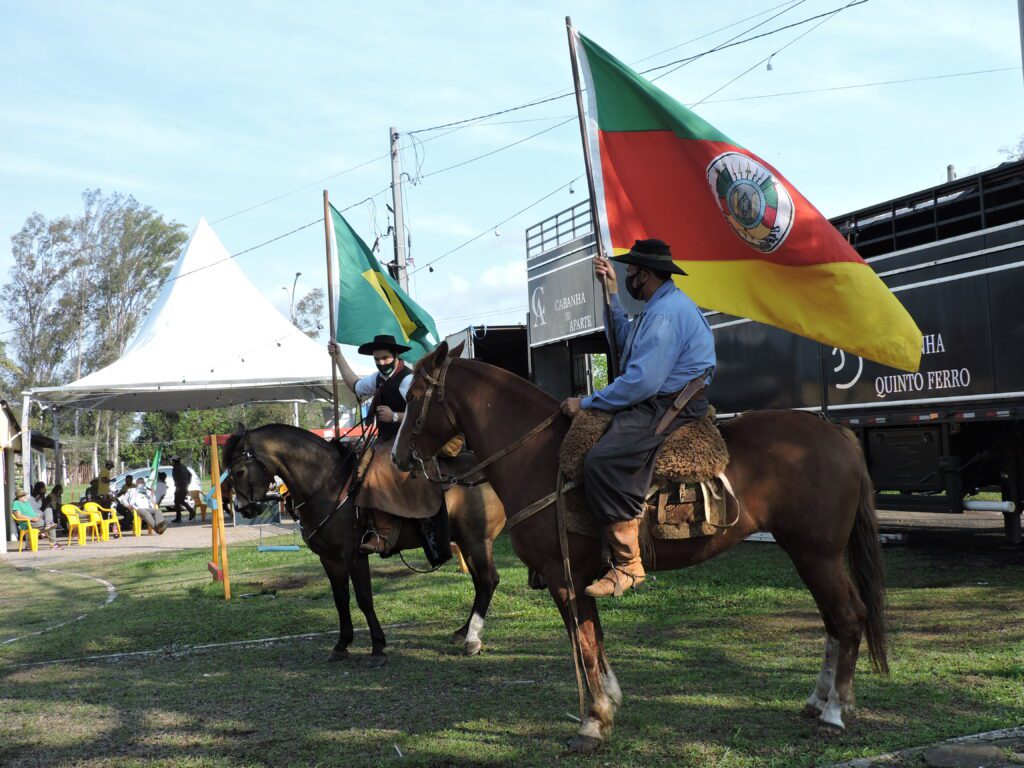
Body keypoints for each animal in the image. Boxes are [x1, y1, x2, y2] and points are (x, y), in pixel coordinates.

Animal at [227, 423, 507, 663]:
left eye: (239, 471)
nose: (243, 508)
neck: (328, 485)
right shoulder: (330, 558)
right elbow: (341, 599)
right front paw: (342, 645)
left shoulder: (354, 554)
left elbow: (364, 598)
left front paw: (377, 647)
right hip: (466, 542)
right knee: (480, 582)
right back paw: (464, 631)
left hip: (477, 540)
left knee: (488, 580)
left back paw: (472, 639)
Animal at [391, 342, 888, 753]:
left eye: (413, 397)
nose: (397, 458)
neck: (537, 458)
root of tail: (834, 432)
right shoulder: (581, 579)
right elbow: (595, 638)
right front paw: (610, 702)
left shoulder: (563, 576)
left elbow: (584, 643)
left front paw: (593, 722)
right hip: (806, 553)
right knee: (833, 621)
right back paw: (817, 699)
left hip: (817, 553)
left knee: (849, 617)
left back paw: (834, 713)